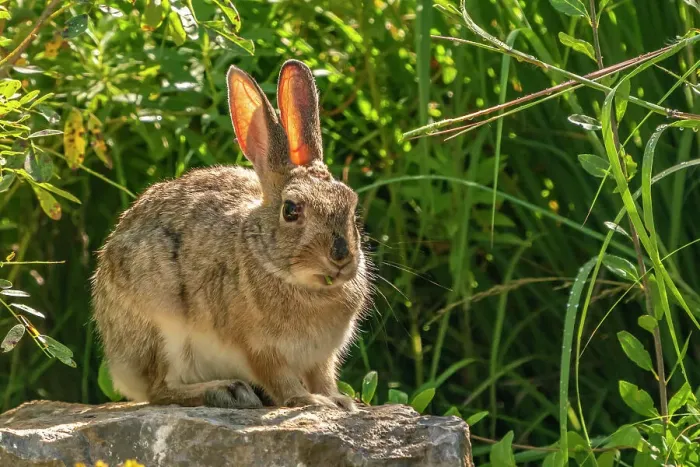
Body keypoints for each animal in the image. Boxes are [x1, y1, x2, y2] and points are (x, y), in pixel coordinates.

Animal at [91, 60, 372, 411]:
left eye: (352, 203)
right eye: (291, 210)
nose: (340, 257)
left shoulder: (322, 357)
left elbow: (323, 377)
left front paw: (339, 401)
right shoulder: (258, 348)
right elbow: (280, 380)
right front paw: (309, 401)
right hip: (162, 327)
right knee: (159, 390)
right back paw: (227, 391)